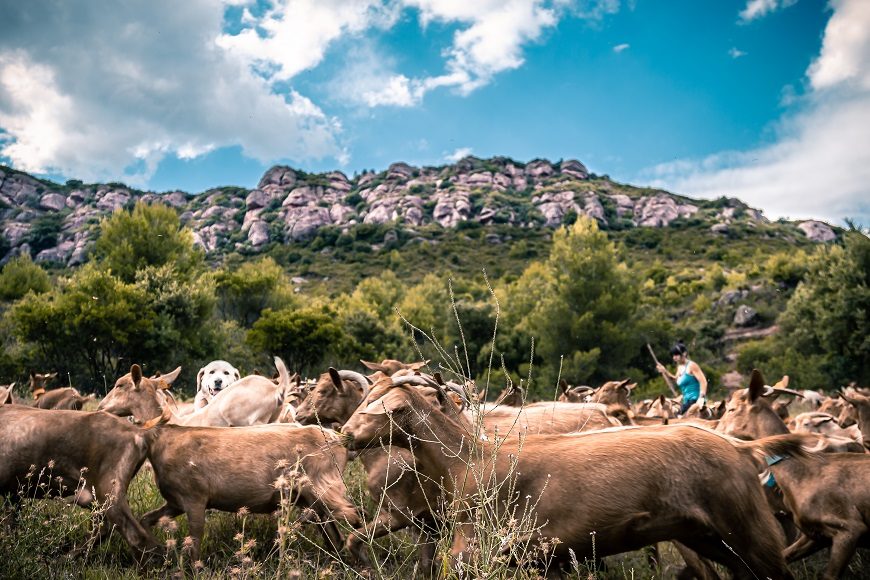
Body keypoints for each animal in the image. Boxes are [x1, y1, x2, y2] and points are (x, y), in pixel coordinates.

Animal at [0, 404, 162, 556]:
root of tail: (139, 434)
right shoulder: (12, 493)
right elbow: (11, 526)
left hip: (109, 492)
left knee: (135, 536)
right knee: (102, 529)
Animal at [344, 378, 808, 576]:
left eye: (379, 408)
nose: (346, 434)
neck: (469, 458)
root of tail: (741, 448)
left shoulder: (473, 547)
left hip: (750, 532)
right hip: (711, 538)